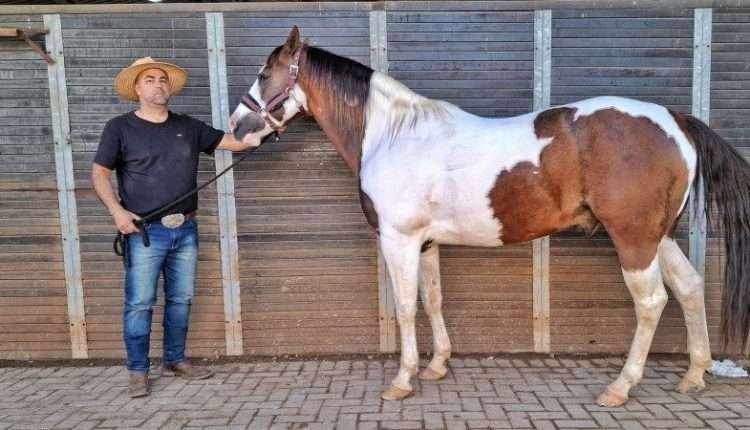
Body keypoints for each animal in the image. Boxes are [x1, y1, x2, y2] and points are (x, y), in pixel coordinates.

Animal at [229, 26, 750, 406]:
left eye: (266, 73)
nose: (236, 127)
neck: (394, 135)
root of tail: (675, 120)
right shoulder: (426, 242)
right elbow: (432, 300)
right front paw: (437, 366)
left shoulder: (398, 240)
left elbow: (405, 306)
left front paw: (402, 380)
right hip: (659, 236)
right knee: (690, 288)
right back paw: (693, 376)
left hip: (633, 239)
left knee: (652, 302)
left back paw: (620, 387)